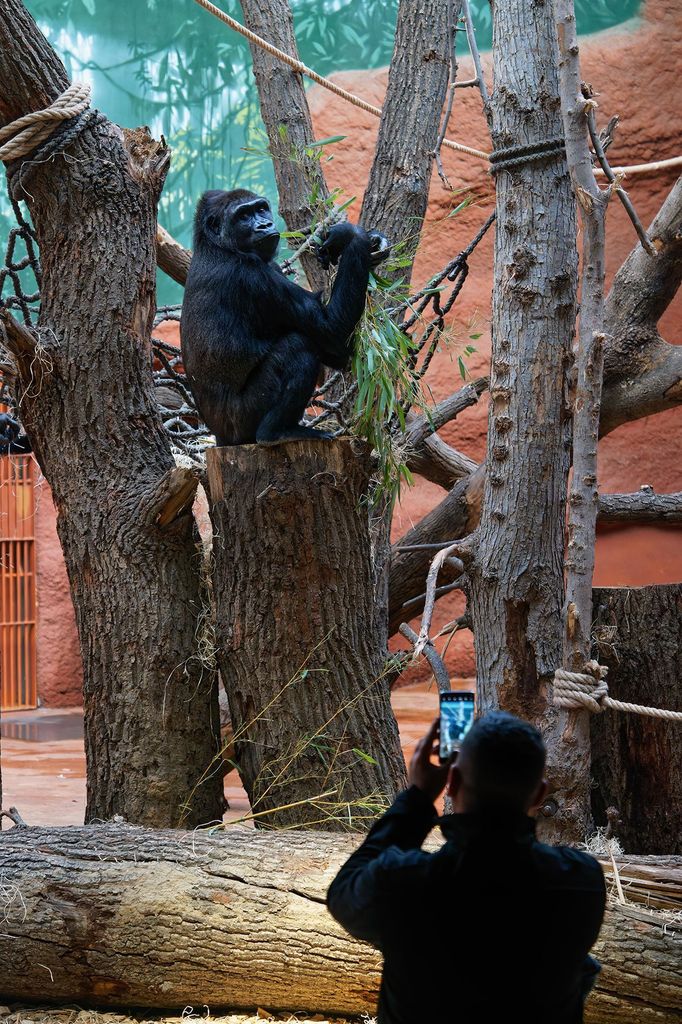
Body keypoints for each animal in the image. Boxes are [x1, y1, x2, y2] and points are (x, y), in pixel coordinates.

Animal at [178, 190, 385, 446]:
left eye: (261, 209)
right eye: (243, 216)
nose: (265, 224)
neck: (215, 245)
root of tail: (220, 439)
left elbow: (335, 353)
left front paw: (374, 243)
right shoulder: (253, 277)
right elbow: (334, 333)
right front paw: (351, 234)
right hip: (242, 424)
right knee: (297, 346)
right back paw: (275, 432)